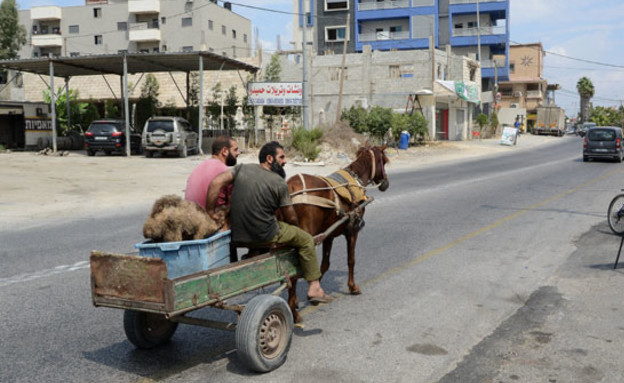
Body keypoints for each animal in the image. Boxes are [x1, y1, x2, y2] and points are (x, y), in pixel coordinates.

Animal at [286, 146, 390, 322]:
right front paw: (352, 287)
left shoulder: (328, 235)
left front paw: (314, 294)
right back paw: (293, 312)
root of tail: (291, 188)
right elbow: (351, 260)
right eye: (384, 161)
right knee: (293, 273)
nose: (386, 183)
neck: (355, 179)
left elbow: (324, 265)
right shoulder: (352, 231)